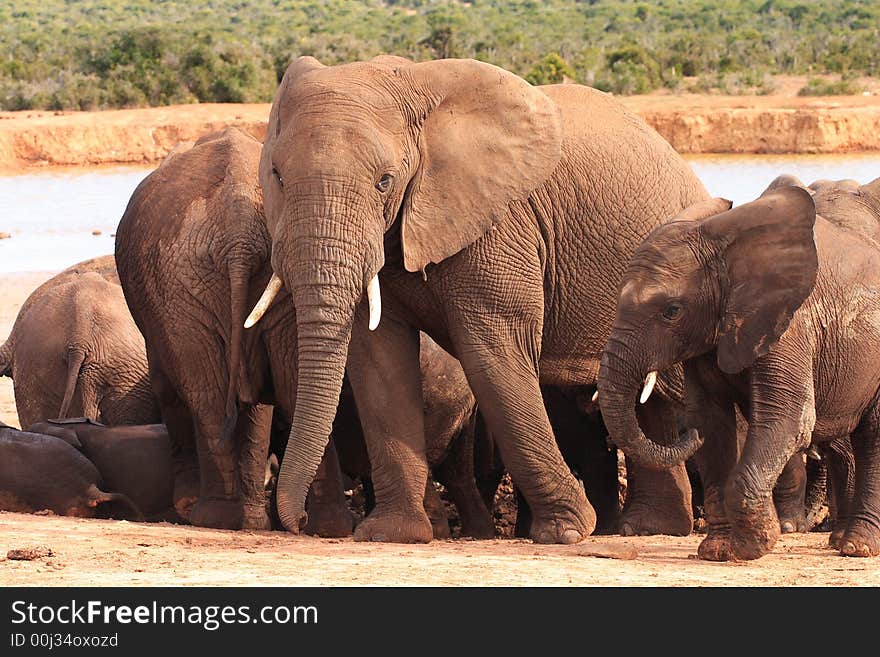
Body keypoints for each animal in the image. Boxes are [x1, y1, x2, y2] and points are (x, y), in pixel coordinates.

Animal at [246, 56, 708, 540]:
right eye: (277, 177)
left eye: (385, 182)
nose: (299, 523)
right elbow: (379, 359)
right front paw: (392, 534)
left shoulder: (502, 225)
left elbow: (491, 352)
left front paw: (566, 532)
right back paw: (651, 528)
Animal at [600, 187, 880, 560]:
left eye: (672, 311)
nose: (686, 436)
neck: (724, 244)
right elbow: (711, 423)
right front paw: (716, 551)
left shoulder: (790, 326)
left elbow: (788, 420)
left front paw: (757, 544)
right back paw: (841, 542)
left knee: (872, 437)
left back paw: (857, 546)